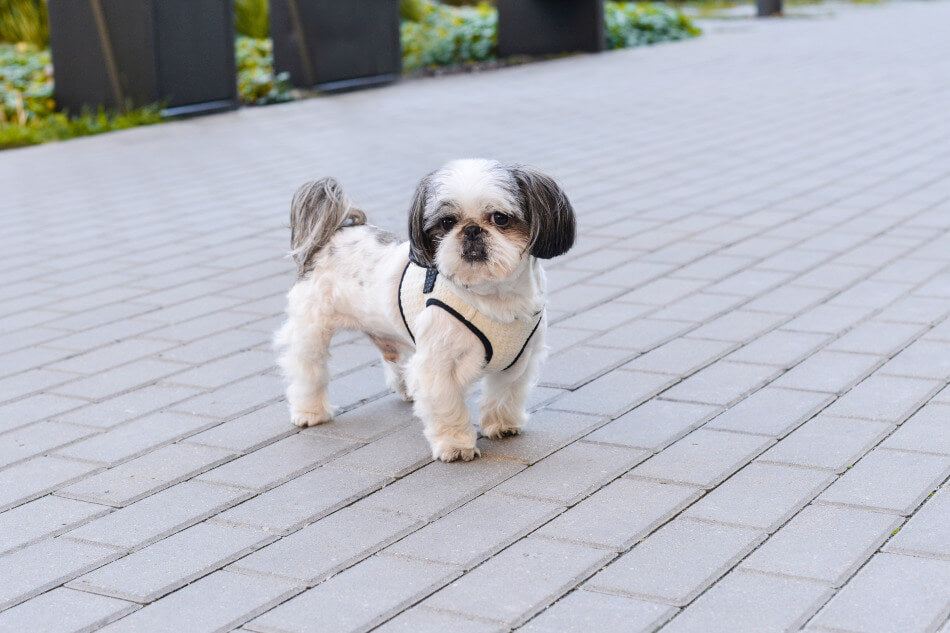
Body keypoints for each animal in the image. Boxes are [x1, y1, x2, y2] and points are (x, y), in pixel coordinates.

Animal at [272, 158, 576, 460]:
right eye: (447, 222)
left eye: (500, 218)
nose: (471, 229)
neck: (492, 298)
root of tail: (334, 233)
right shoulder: (439, 365)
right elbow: (447, 405)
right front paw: (456, 444)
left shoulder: (519, 360)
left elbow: (504, 394)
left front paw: (502, 425)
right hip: (312, 327)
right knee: (308, 367)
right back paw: (310, 411)